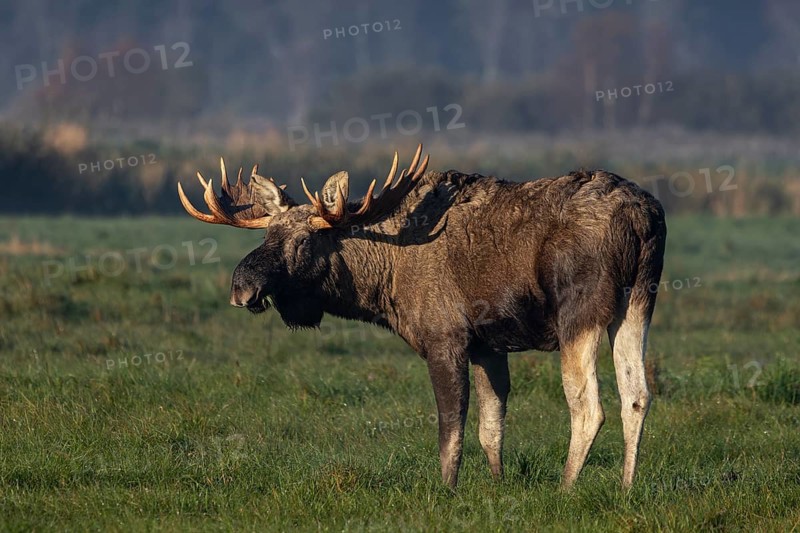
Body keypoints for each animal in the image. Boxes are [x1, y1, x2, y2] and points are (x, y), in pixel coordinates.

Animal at [177, 144, 667, 490]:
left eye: (303, 241)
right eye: (268, 235)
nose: (242, 287)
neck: (381, 281)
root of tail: (645, 217)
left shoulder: (444, 337)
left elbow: (451, 429)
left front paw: (448, 489)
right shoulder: (488, 345)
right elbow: (491, 427)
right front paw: (498, 485)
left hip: (579, 312)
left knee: (588, 406)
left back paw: (566, 488)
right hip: (637, 302)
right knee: (637, 395)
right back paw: (626, 487)